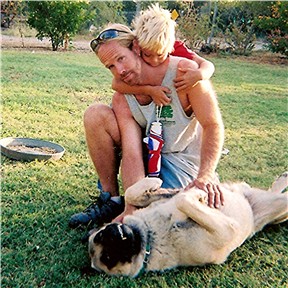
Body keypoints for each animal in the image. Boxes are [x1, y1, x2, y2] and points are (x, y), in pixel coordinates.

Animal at [88, 172, 288, 278]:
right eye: (107, 258)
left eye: (100, 234)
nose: (114, 232)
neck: (151, 235)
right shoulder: (226, 231)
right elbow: (183, 199)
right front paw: (197, 194)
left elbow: (132, 194)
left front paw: (156, 182)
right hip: (280, 207)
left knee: (272, 190)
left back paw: (282, 178)